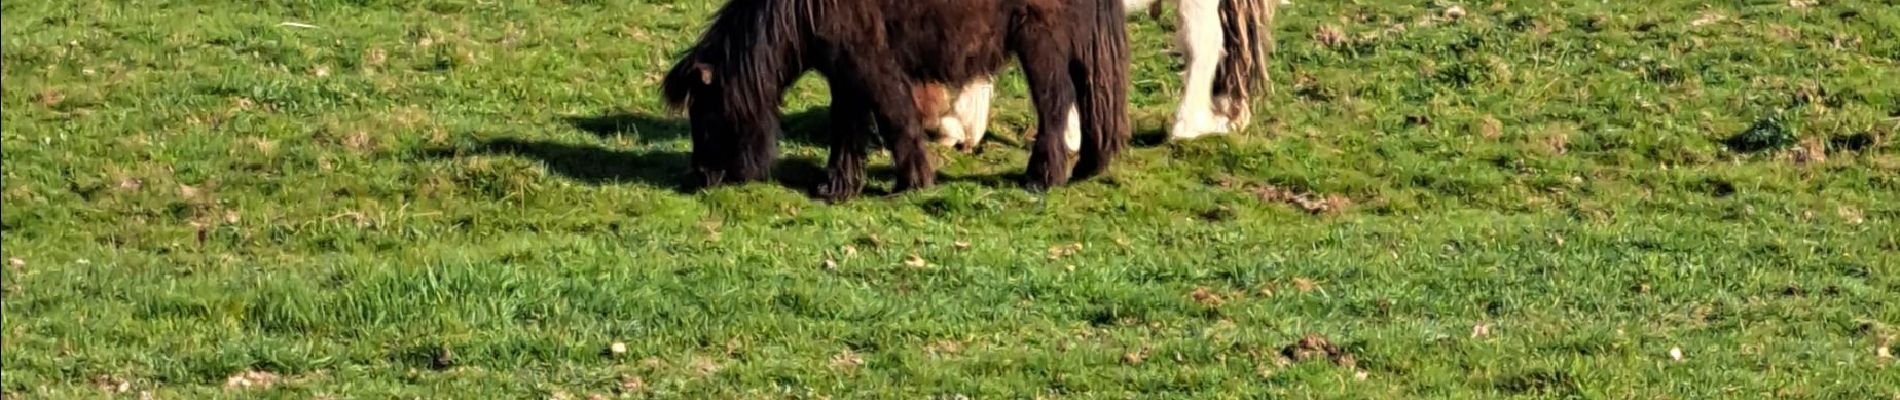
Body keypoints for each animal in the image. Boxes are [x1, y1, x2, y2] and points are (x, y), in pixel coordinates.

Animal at [661, 0, 1124, 201]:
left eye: (706, 115)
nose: (701, 177)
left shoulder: (872, 67)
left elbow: (896, 121)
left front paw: (912, 182)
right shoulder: (846, 73)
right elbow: (846, 130)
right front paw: (837, 187)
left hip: (1040, 41)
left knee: (1055, 105)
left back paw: (1042, 177)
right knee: (1093, 98)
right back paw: (1087, 166)